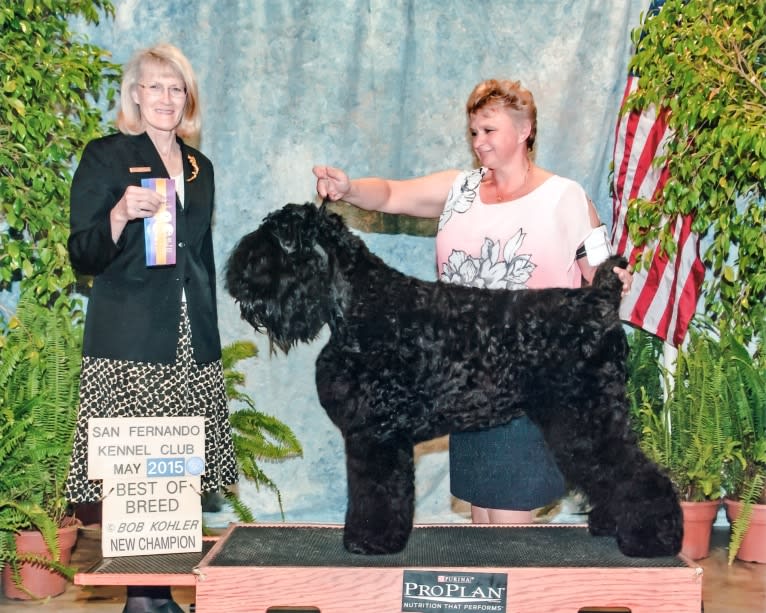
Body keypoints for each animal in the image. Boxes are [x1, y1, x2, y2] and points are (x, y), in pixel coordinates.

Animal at [226, 203, 684, 556]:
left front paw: (371, 541)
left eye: (270, 245)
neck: (361, 305)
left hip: (587, 417)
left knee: (636, 473)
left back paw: (653, 539)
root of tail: (599, 300)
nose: (236, 279)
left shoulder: (378, 435)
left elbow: (377, 492)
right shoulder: (370, 436)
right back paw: (612, 524)